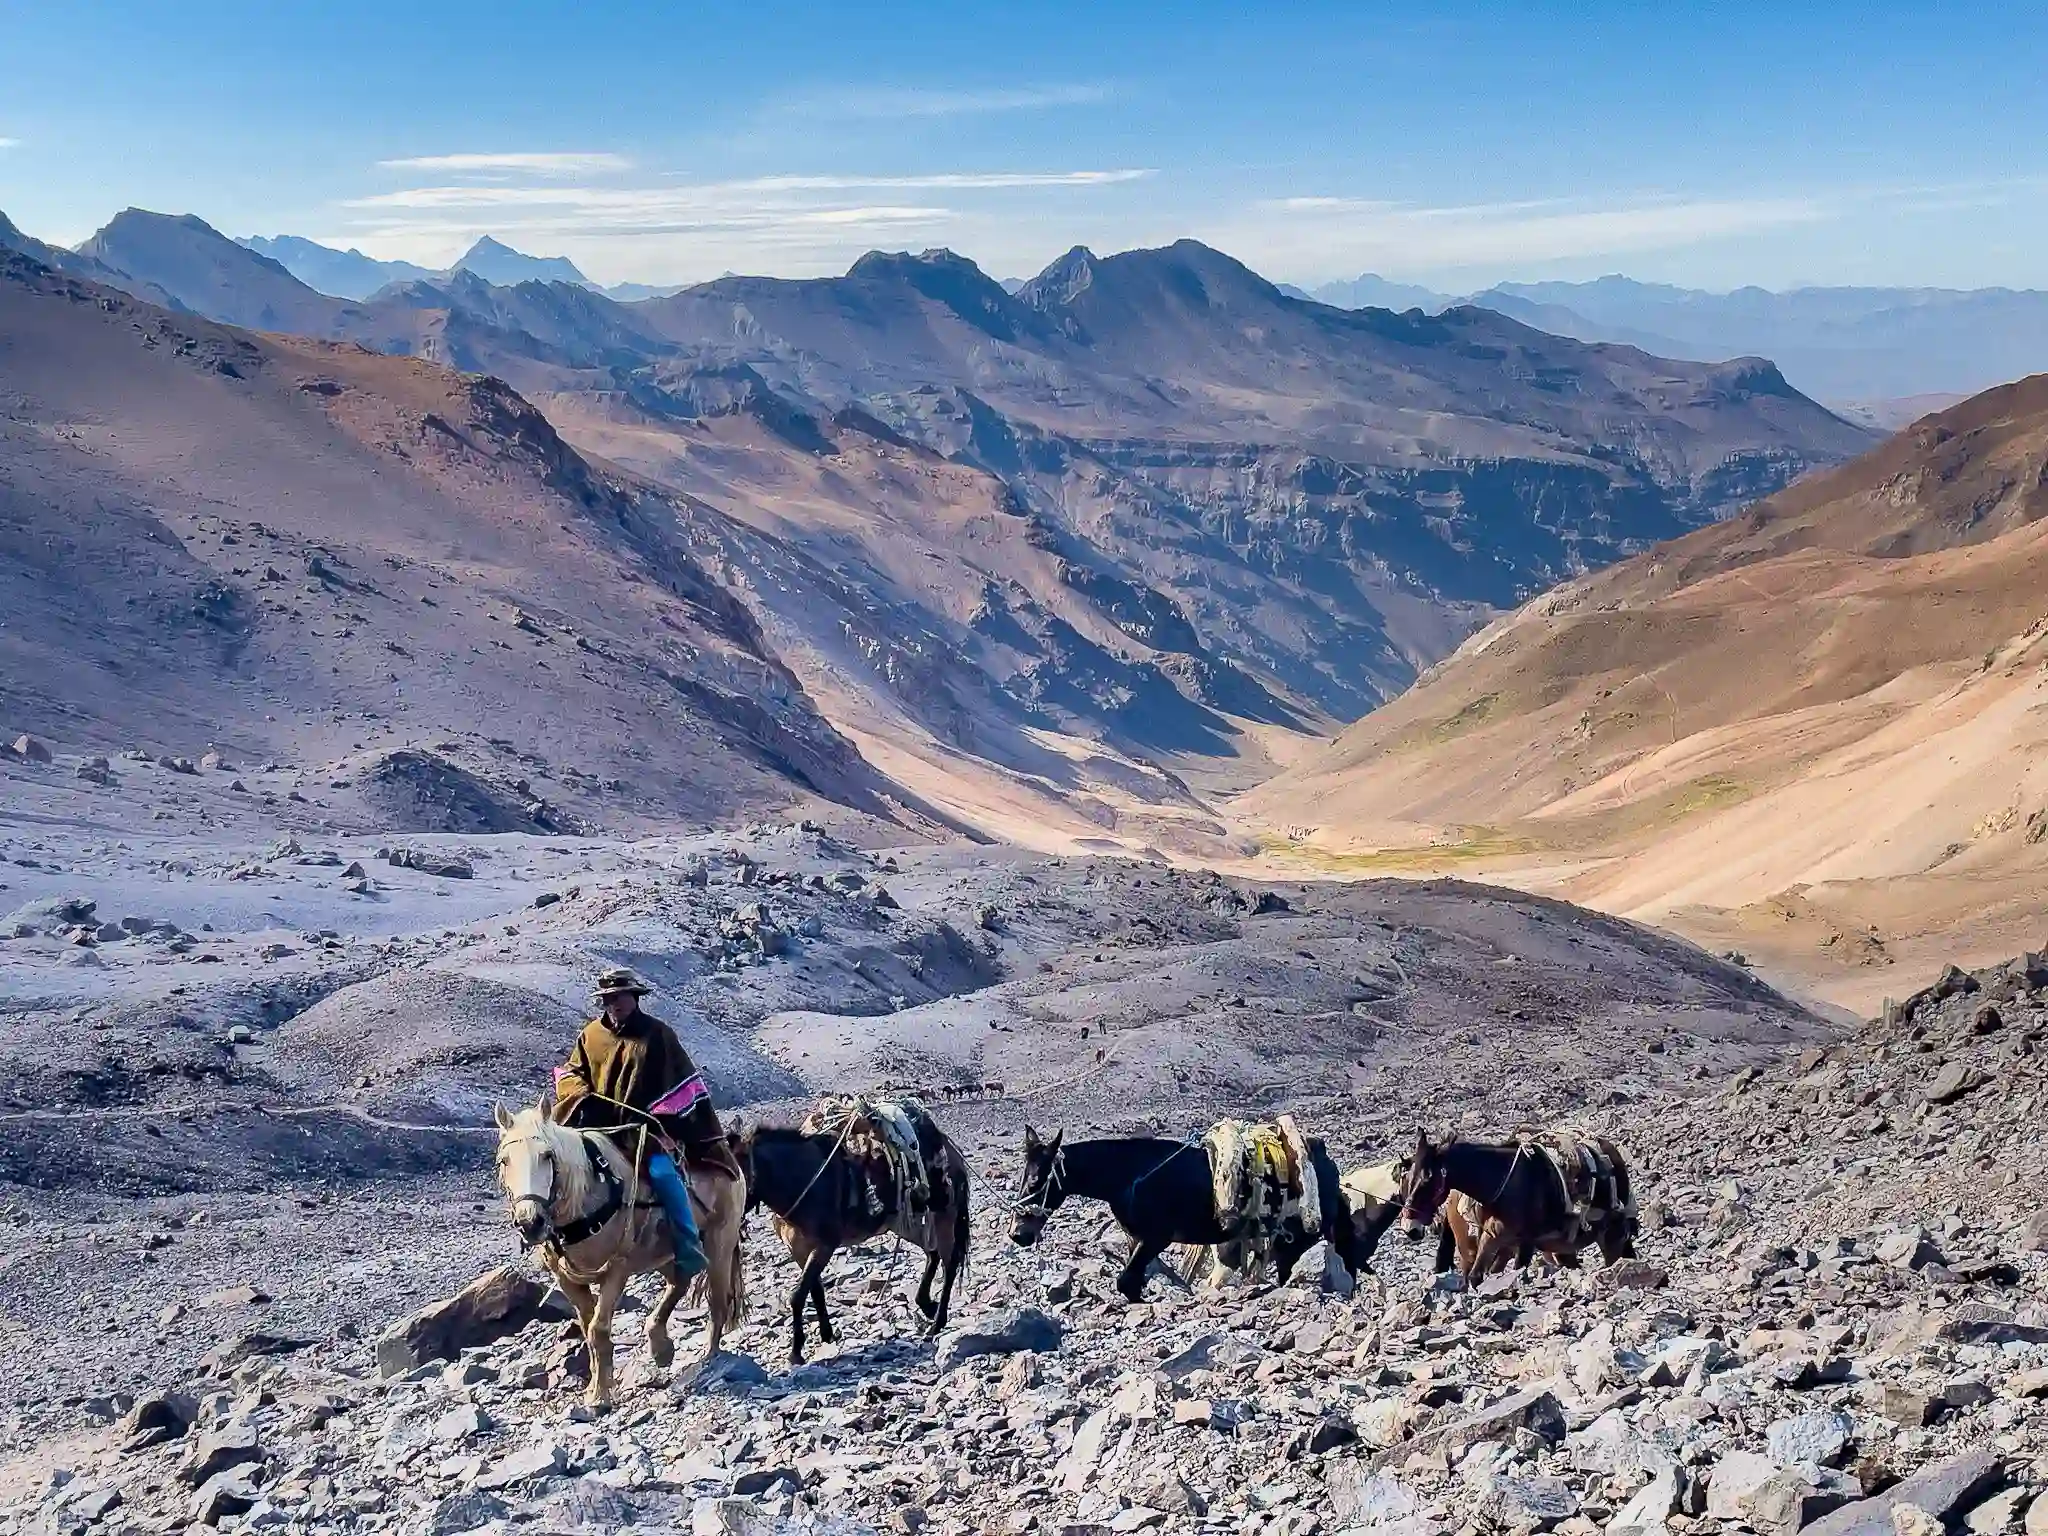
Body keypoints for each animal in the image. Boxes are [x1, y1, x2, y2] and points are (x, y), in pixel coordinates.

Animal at [491, 1097, 749, 1417]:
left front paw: (600, 1396)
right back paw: (660, 1346)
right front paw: (595, 1386)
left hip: (719, 1244)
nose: (530, 1222)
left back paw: (708, 1358)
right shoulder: (567, 1280)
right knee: (679, 1282)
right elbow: (587, 1328)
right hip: (663, 1253)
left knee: (717, 1302)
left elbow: (598, 1329)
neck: (588, 1197)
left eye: (548, 1155)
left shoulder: (617, 1270)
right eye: (504, 1160)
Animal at [1400, 1122, 1638, 1277]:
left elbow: (1516, 1270)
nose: (1410, 1228)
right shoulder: (1491, 1239)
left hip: (1611, 1236)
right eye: (1407, 1178)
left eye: (1427, 1179)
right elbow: (1477, 1276)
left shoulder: (1526, 1242)